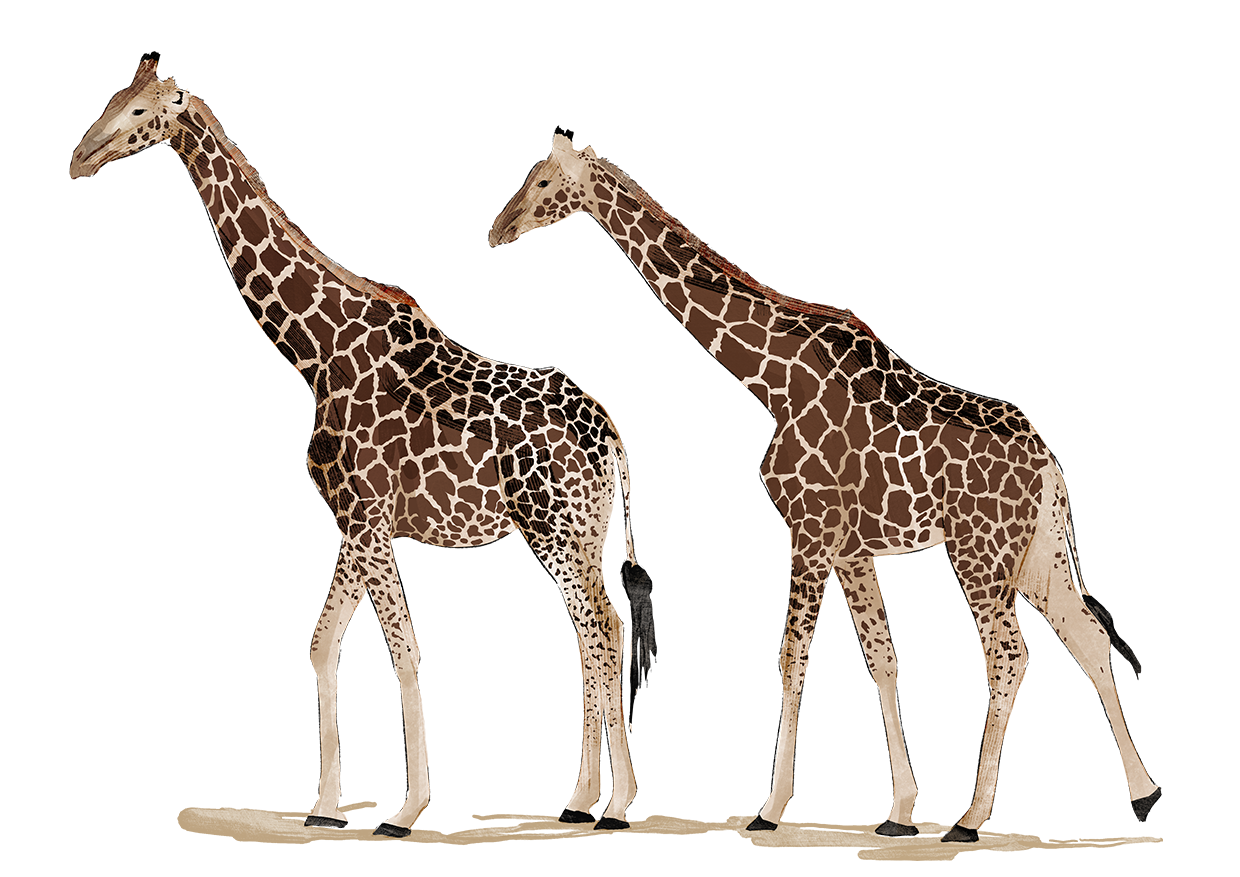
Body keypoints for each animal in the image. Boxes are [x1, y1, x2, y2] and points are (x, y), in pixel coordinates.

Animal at [71, 62, 643, 835]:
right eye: (109, 97)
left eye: (138, 110)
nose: (81, 156)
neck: (316, 351)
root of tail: (610, 437)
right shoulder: (355, 520)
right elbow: (331, 641)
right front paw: (331, 804)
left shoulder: (370, 516)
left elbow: (395, 646)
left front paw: (404, 807)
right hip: (585, 530)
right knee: (598, 627)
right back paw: (594, 797)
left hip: (556, 526)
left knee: (597, 629)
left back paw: (602, 800)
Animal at [490, 134, 1161, 840]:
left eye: (543, 183)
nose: (497, 230)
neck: (771, 381)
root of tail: (1050, 466)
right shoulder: (851, 550)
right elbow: (881, 658)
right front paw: (899, 809)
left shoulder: (810, 532)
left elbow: (791, 656)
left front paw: (772, 806)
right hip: (1036, 554)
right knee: (1085, 635)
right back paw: (1143, 796)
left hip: (980, 552)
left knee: (1008, 654)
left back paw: (974, 814)